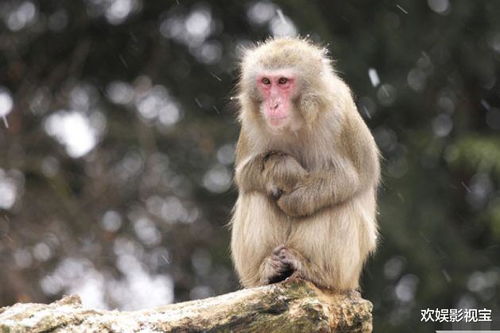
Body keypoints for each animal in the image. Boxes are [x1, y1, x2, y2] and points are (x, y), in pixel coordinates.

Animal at [229, 37, 378, 290]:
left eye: (283, 81)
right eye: (266, 82)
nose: (273, 104)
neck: (296, 122)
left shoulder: (340, 117)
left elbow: (357, 176)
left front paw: (295, 199)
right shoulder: (251, 124)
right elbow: (245, 174)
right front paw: (280, 169)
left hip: (347, 274)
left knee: (336, 202)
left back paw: (315, 271)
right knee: (256, 193)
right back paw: (268, 271)